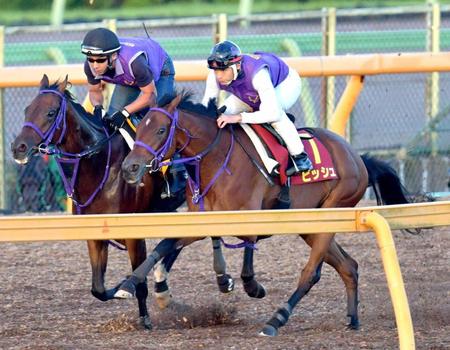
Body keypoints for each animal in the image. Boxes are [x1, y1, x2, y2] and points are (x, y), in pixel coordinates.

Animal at [10, 76, 234, 328]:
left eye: (50, 112)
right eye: (27, 110)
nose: (18, 147)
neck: (100, 165)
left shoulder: (134, 235)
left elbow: (139, 281)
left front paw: (143, 317)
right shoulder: (94, 233)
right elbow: (98, 289)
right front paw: (122, 287)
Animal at [115, 93, 412, 336]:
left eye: (161, 130)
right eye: (140, 128)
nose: (130, 167)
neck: (218, 159)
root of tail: (357, 158)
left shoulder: (250, 216)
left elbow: (248, 260)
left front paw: (251, 287)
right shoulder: (202, 221)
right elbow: (164, 246)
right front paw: (126, 285)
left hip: (333, 211)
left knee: (310, 273)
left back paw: (275, 320)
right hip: (311, 225)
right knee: (348, 265)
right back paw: (352, 318)